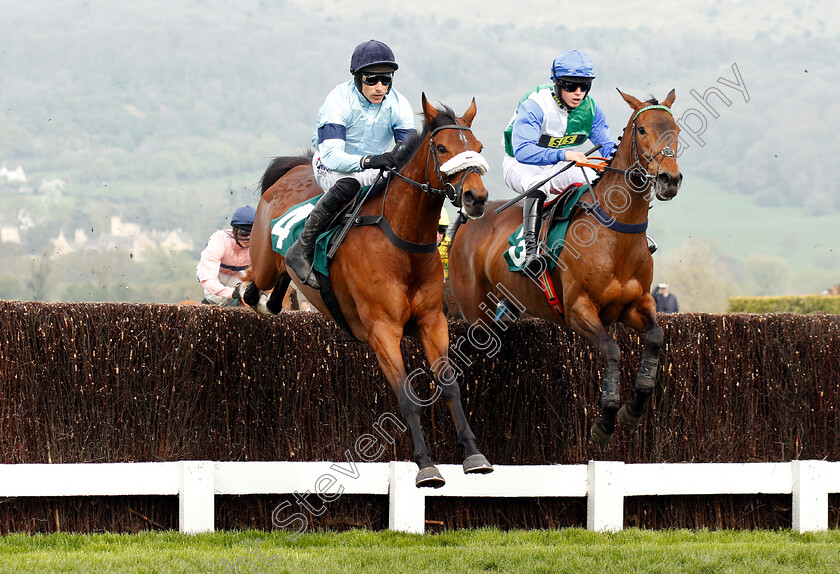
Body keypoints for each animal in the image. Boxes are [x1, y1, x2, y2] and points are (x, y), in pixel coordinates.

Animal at [243, 95, 492, 490]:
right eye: (441, 148)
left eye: (479, 147)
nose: (476, 197)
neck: (402, 242)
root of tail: (292, 170)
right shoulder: (382, 330)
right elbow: (407, 397)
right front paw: (426, 466)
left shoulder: (432, 321)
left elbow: (449, 384)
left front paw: (473, 454)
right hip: (265, 256)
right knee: (261, 279)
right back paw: (257, 295)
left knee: (280, 281)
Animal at [450, 91, 680, 446]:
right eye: (642, 129)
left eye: (676, 129)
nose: (670, 179)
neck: (615, 236)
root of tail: (468, 217)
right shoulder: (578, 309)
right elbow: (612, 350)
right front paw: (605, 420)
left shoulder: (636, 303)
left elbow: (656, 336)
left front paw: (633, 408)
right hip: (475, 312)